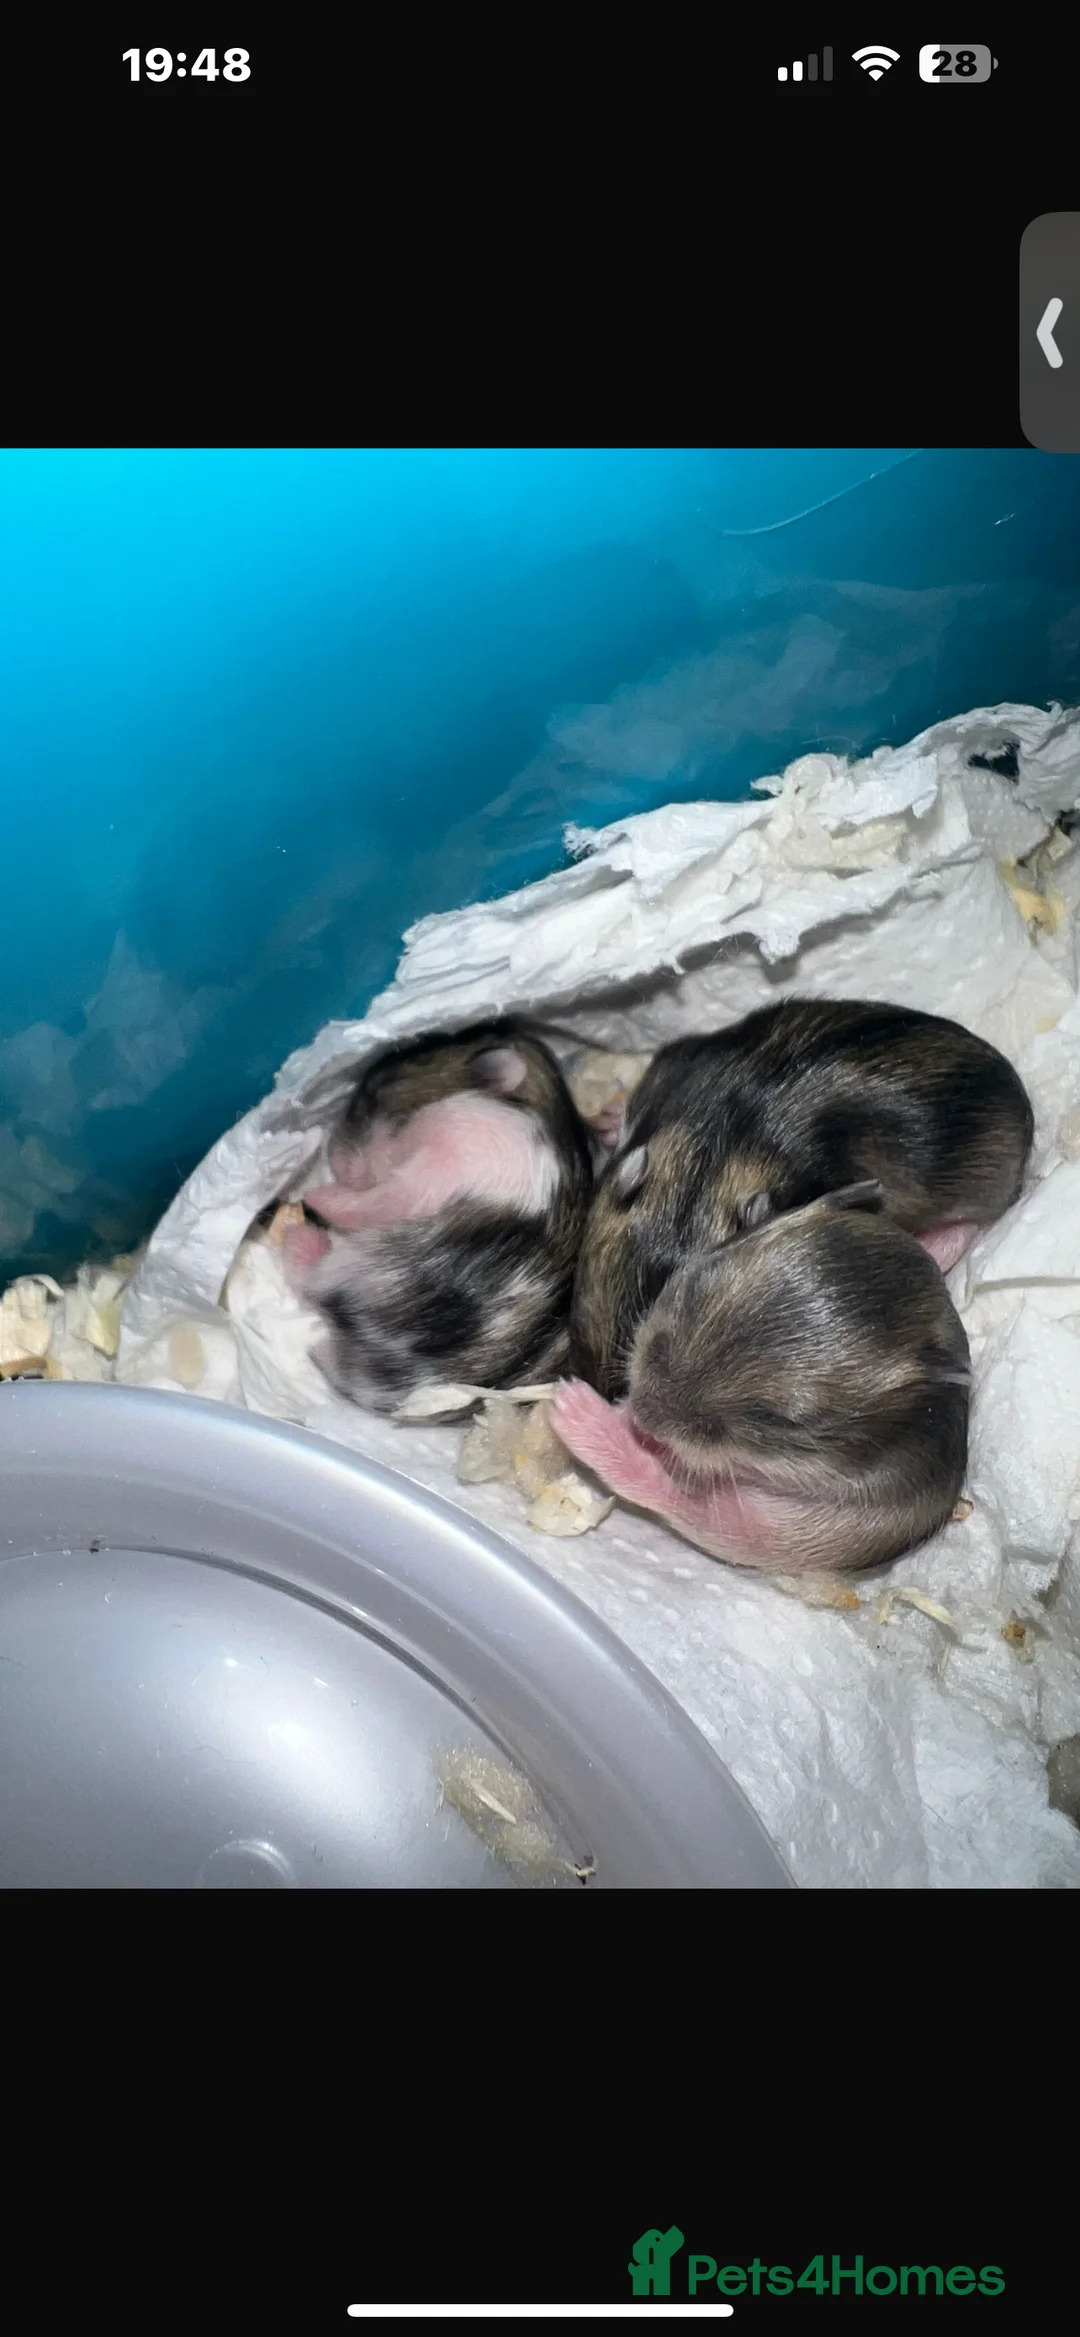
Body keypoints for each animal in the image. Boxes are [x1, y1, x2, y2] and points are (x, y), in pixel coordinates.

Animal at [283, 1022, 594, 1410]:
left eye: (380, 1090)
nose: (332, 1156)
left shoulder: (444, 1159)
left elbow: (383, 1199)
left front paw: (318, 1196)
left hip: (356, 1267)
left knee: (313, 1281)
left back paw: (302, 1237)